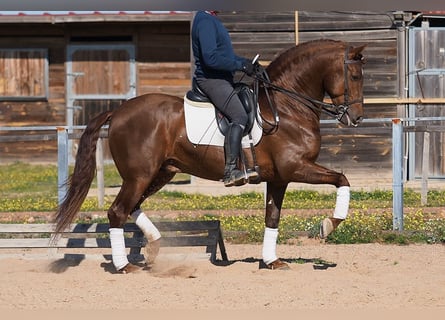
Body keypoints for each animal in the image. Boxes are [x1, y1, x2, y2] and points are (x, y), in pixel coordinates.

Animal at [54, 38, 364, 272]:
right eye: (355, 76)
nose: (356, 118)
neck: (286, 107)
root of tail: (118, 111)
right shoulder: (296, 167)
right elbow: (342, 179)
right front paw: (329, 225)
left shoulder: (279, 178)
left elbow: (272, 217)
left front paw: (271, 261)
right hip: (139, 175)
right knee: (118, 210)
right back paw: (124, 266)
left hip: (160, 173)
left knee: (131, 207)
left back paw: (153, 247)